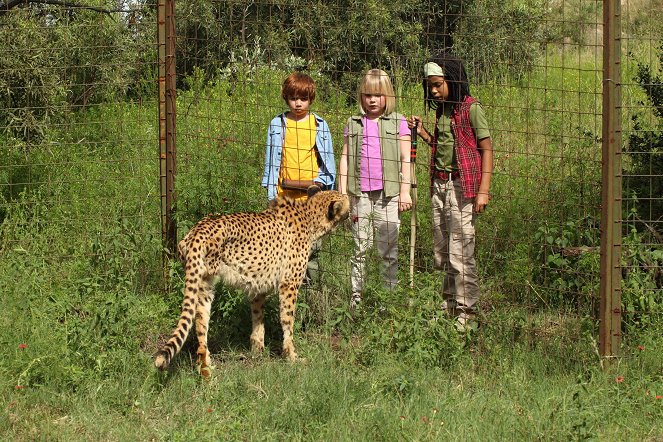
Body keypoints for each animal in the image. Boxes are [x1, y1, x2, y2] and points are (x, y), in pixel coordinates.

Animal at [154, 188, 350, 374]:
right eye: (346, 200)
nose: (351, 208)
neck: (309, 217)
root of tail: (199, 228)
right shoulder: (289, 285)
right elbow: (288, 322)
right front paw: (291, 356)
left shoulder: (257, 286)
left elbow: (258, 317)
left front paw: (257, 350)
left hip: (203, 285)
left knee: (201, 329)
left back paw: (207, 368)